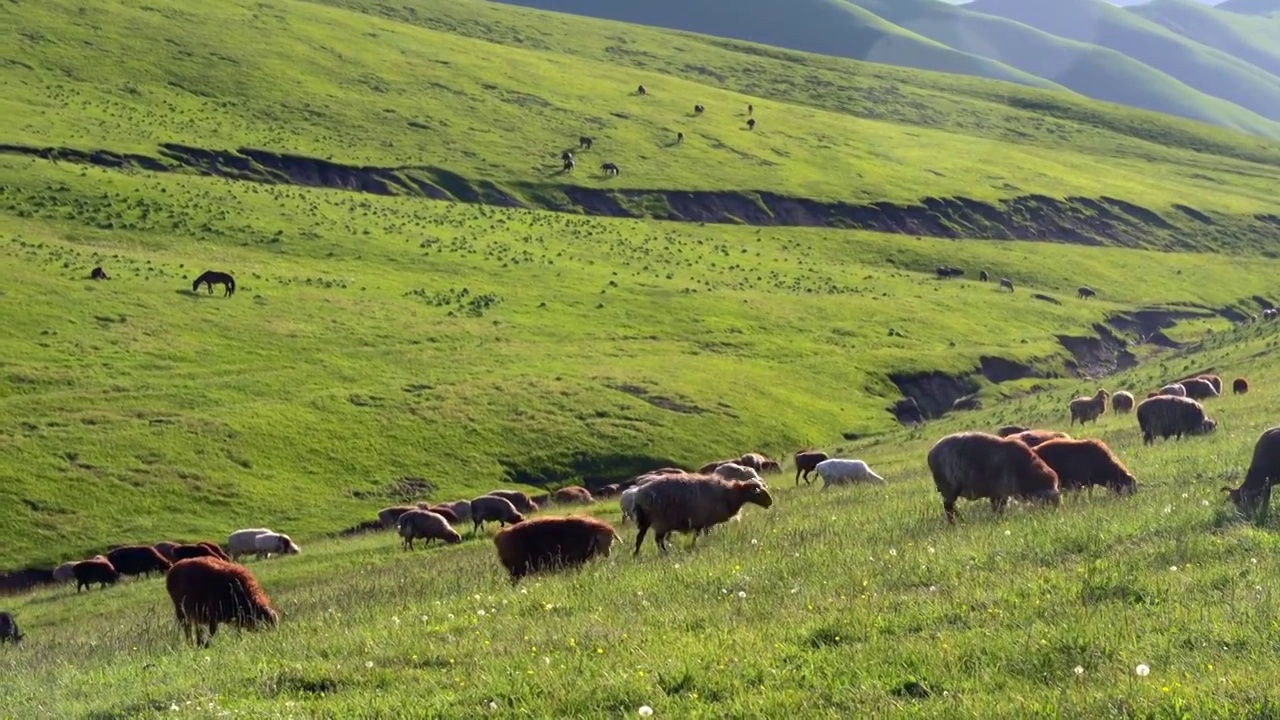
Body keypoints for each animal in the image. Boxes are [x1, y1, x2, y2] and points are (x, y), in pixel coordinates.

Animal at [629, 474, 768, 550]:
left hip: (646, 520)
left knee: (640, 537)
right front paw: (699, 545)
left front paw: (694, 546)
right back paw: (665, 553)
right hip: (661, 520)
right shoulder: (704, 521)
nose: (770, 502)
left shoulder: (700, 522)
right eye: (757, 492)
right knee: (658, 540)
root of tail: (640, 493)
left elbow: (698, 536)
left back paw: (636, 554)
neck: (728, 494)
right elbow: (701, 535)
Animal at [931, 427, 1059, 525]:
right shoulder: (1001, 493)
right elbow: (999, 509)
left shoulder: (996, 494)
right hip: (949, 489)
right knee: (948, 508)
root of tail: (931, 453)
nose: (1053, 516)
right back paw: (956, 523)